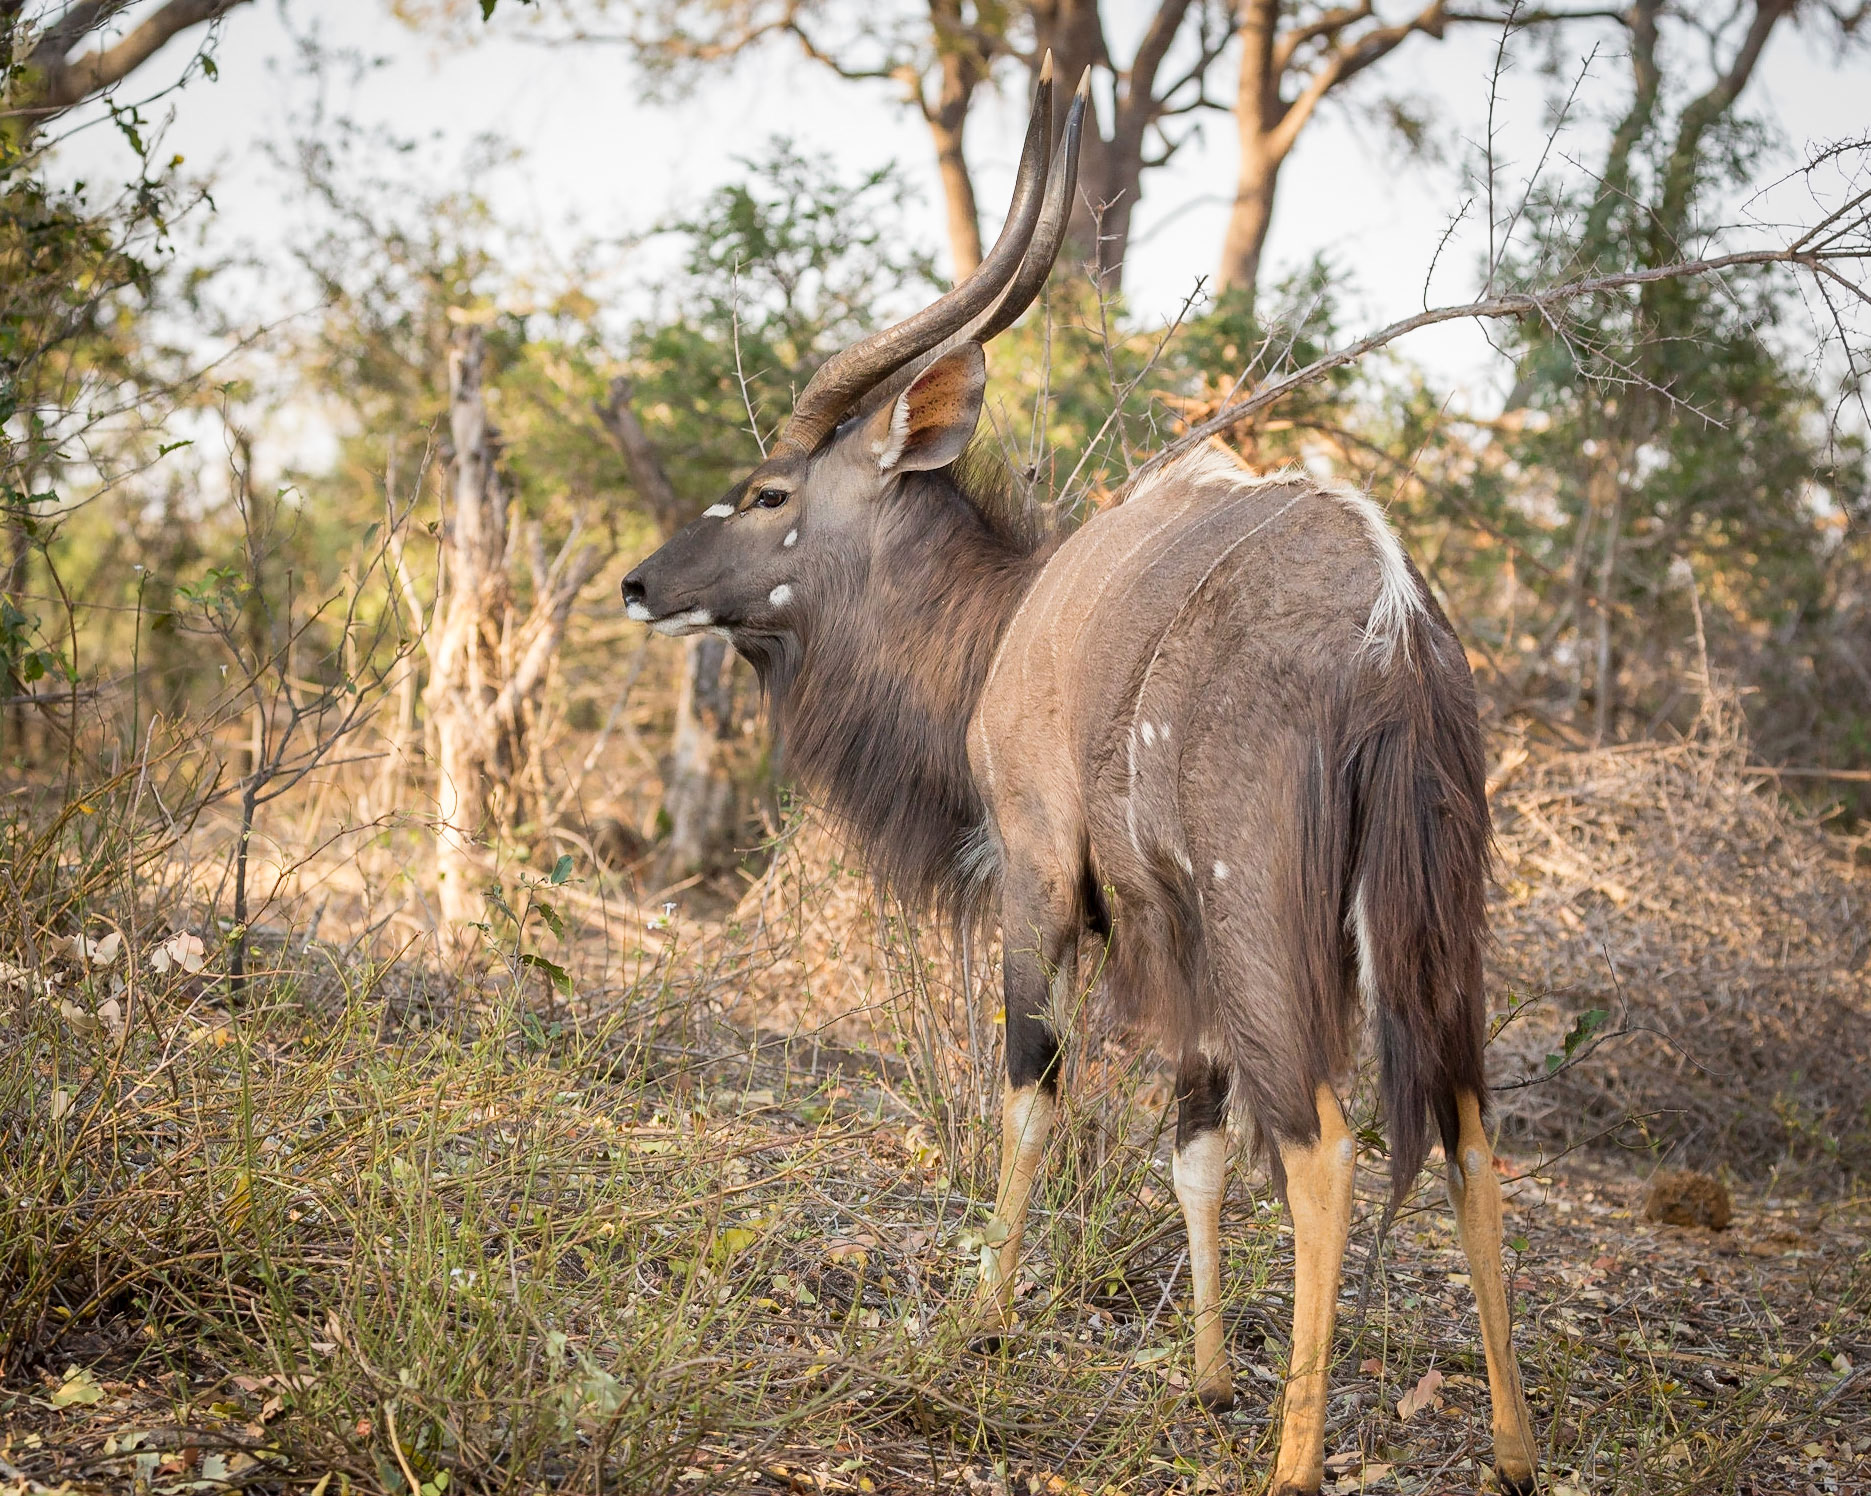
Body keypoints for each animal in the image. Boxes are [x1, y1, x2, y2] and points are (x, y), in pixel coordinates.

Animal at [622, 59, 1538, 1496]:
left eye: (768, 491)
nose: (639, 582)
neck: (1007, 621)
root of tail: (1394, 630)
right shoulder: (1178, 944)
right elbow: (1194, 1146)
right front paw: (1205, 1379)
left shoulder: (1044, 868)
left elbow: (1031, 1089)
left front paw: (981, 1320)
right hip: (1434, 930)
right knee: (1469, 1133)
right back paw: (1508, 1450)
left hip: (1268, 926)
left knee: (1325, 1143)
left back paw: (1294, 1462)